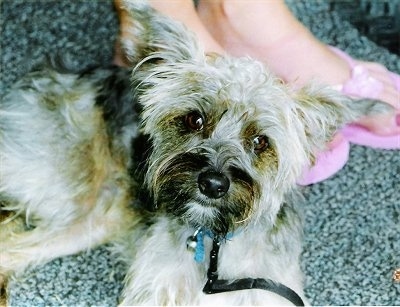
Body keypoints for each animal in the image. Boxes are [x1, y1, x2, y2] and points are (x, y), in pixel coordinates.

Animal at [0, 0, 394, 306]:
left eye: (260, 141)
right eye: (195, 119)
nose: (213, 184)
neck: (216, 247)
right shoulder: (156, 290)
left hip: (90, 221)